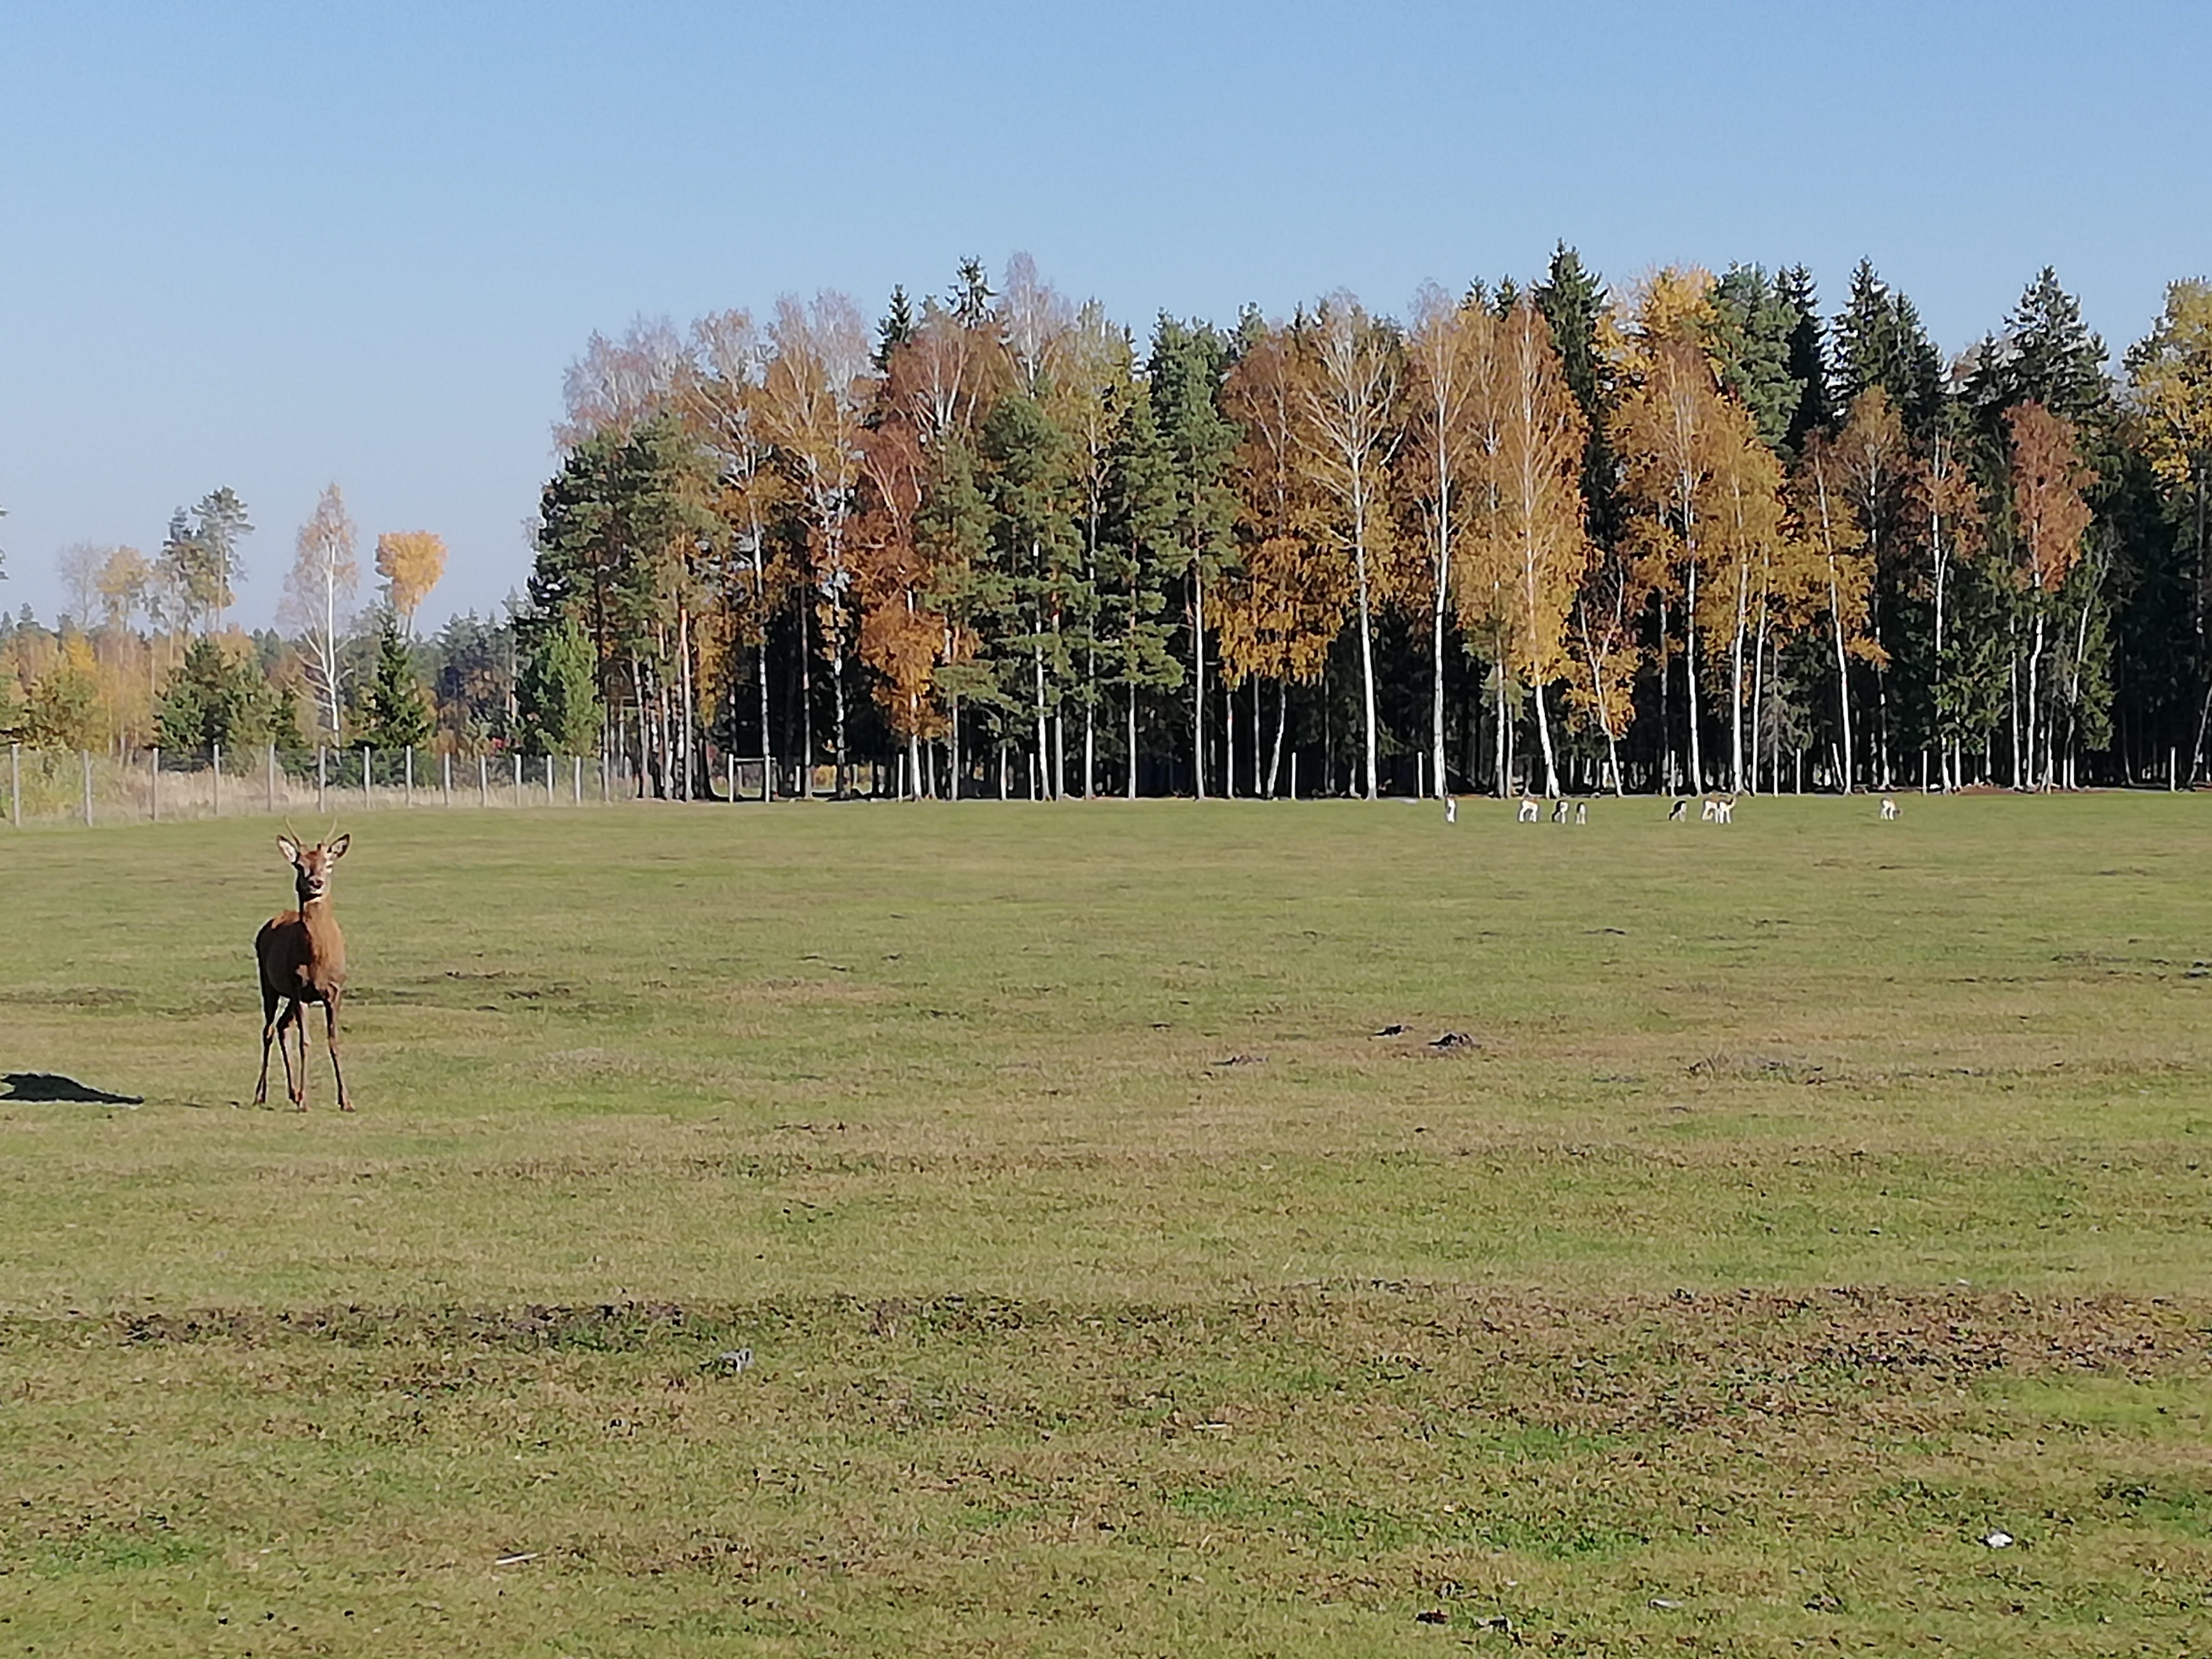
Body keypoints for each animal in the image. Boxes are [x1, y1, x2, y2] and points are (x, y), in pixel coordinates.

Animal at [255, 833, 352, 1111]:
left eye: (328, 864)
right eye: (299, 865)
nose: (315, 883)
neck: (317, 960)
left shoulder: (335, 990)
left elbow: (333, 1040)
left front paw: (346, 1100)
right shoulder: (301, 991)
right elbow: (305, 1042)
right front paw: (306, 1102)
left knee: (281, 1026)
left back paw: (293, 1093)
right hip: (269, 983)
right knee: (267, 1030)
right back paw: (260, 1095)